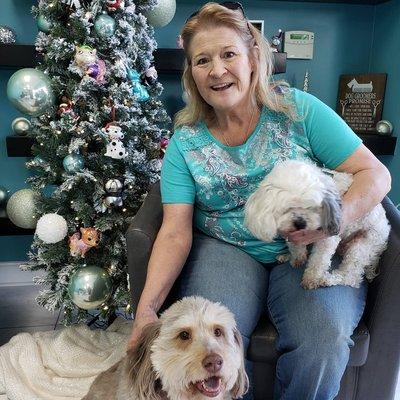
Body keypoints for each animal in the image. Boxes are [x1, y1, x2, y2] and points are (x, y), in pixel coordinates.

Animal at [244, 159, 390, 288]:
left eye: (312, 207)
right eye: (288, 207)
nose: (300, 223)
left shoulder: (327, 238)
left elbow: (319, 260)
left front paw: (312, 279)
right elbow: (296, 248)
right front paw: (297, 258)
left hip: (362, 246)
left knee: (351, 277)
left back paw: (328, 279)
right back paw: (286, 256)